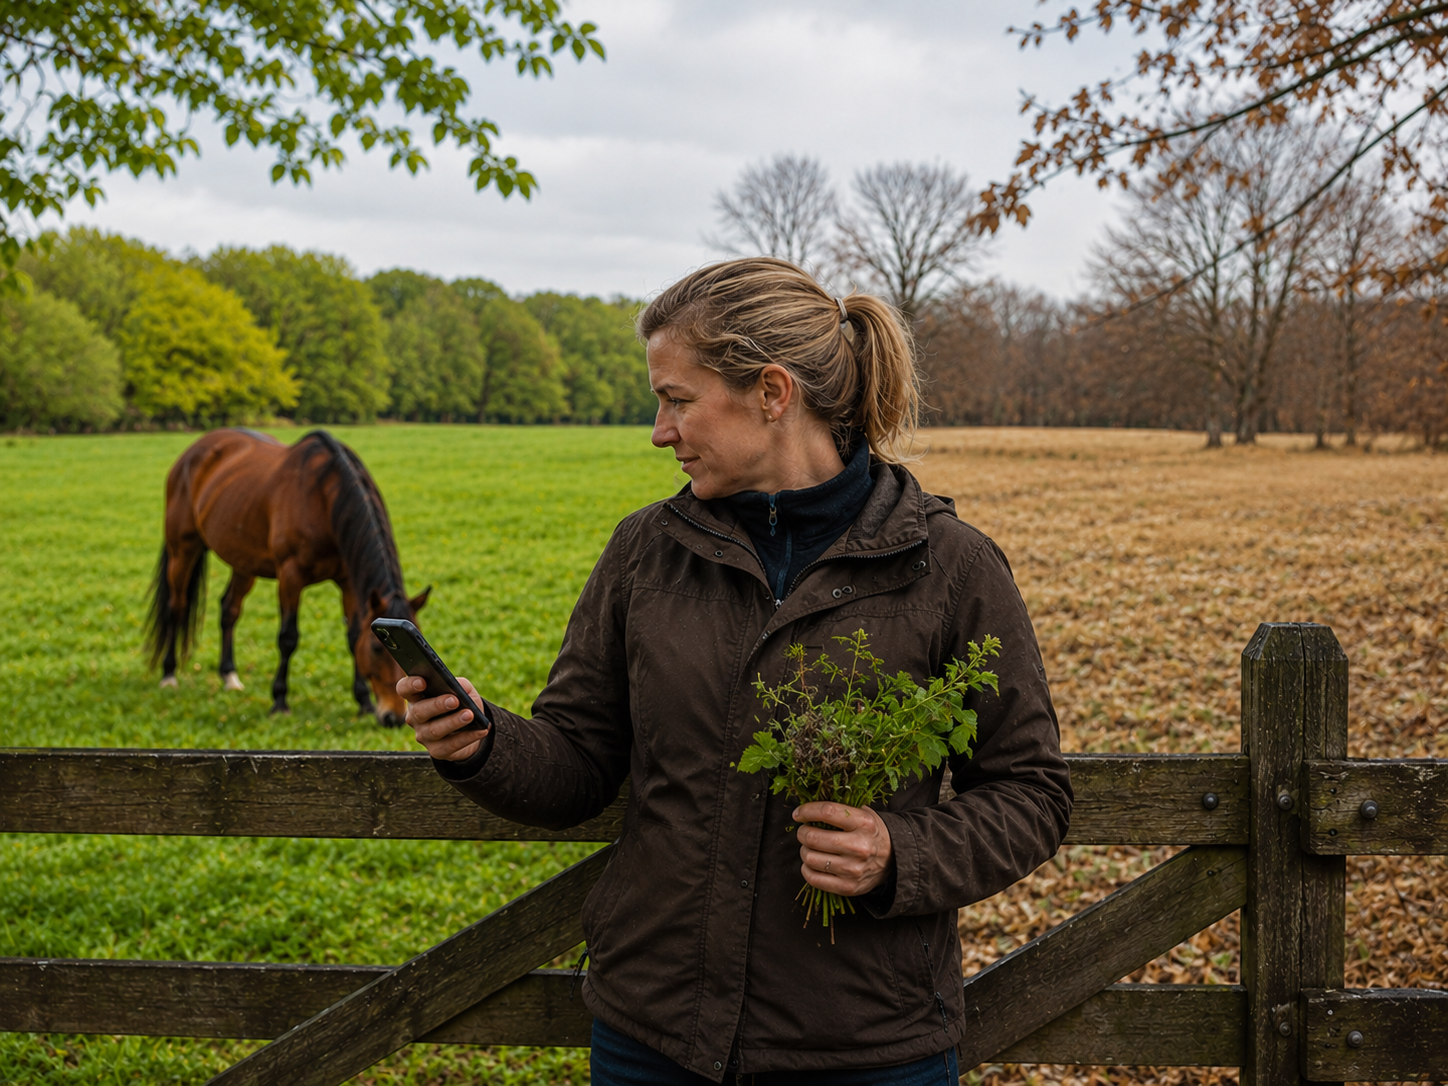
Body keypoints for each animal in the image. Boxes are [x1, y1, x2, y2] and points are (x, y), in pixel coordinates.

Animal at [144, 428, 430, 726]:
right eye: (376, 649)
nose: (394, 717)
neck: (324, 499)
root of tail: (192, 452)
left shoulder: (347, 582)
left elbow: (353, 636)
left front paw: (363, 702)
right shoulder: (290, 577)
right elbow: (288, 637)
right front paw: (280, 701)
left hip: (243, 561)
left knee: (229, 610)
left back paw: (229, 677)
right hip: (183, 549)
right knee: (176, 608)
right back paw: (169, 675)